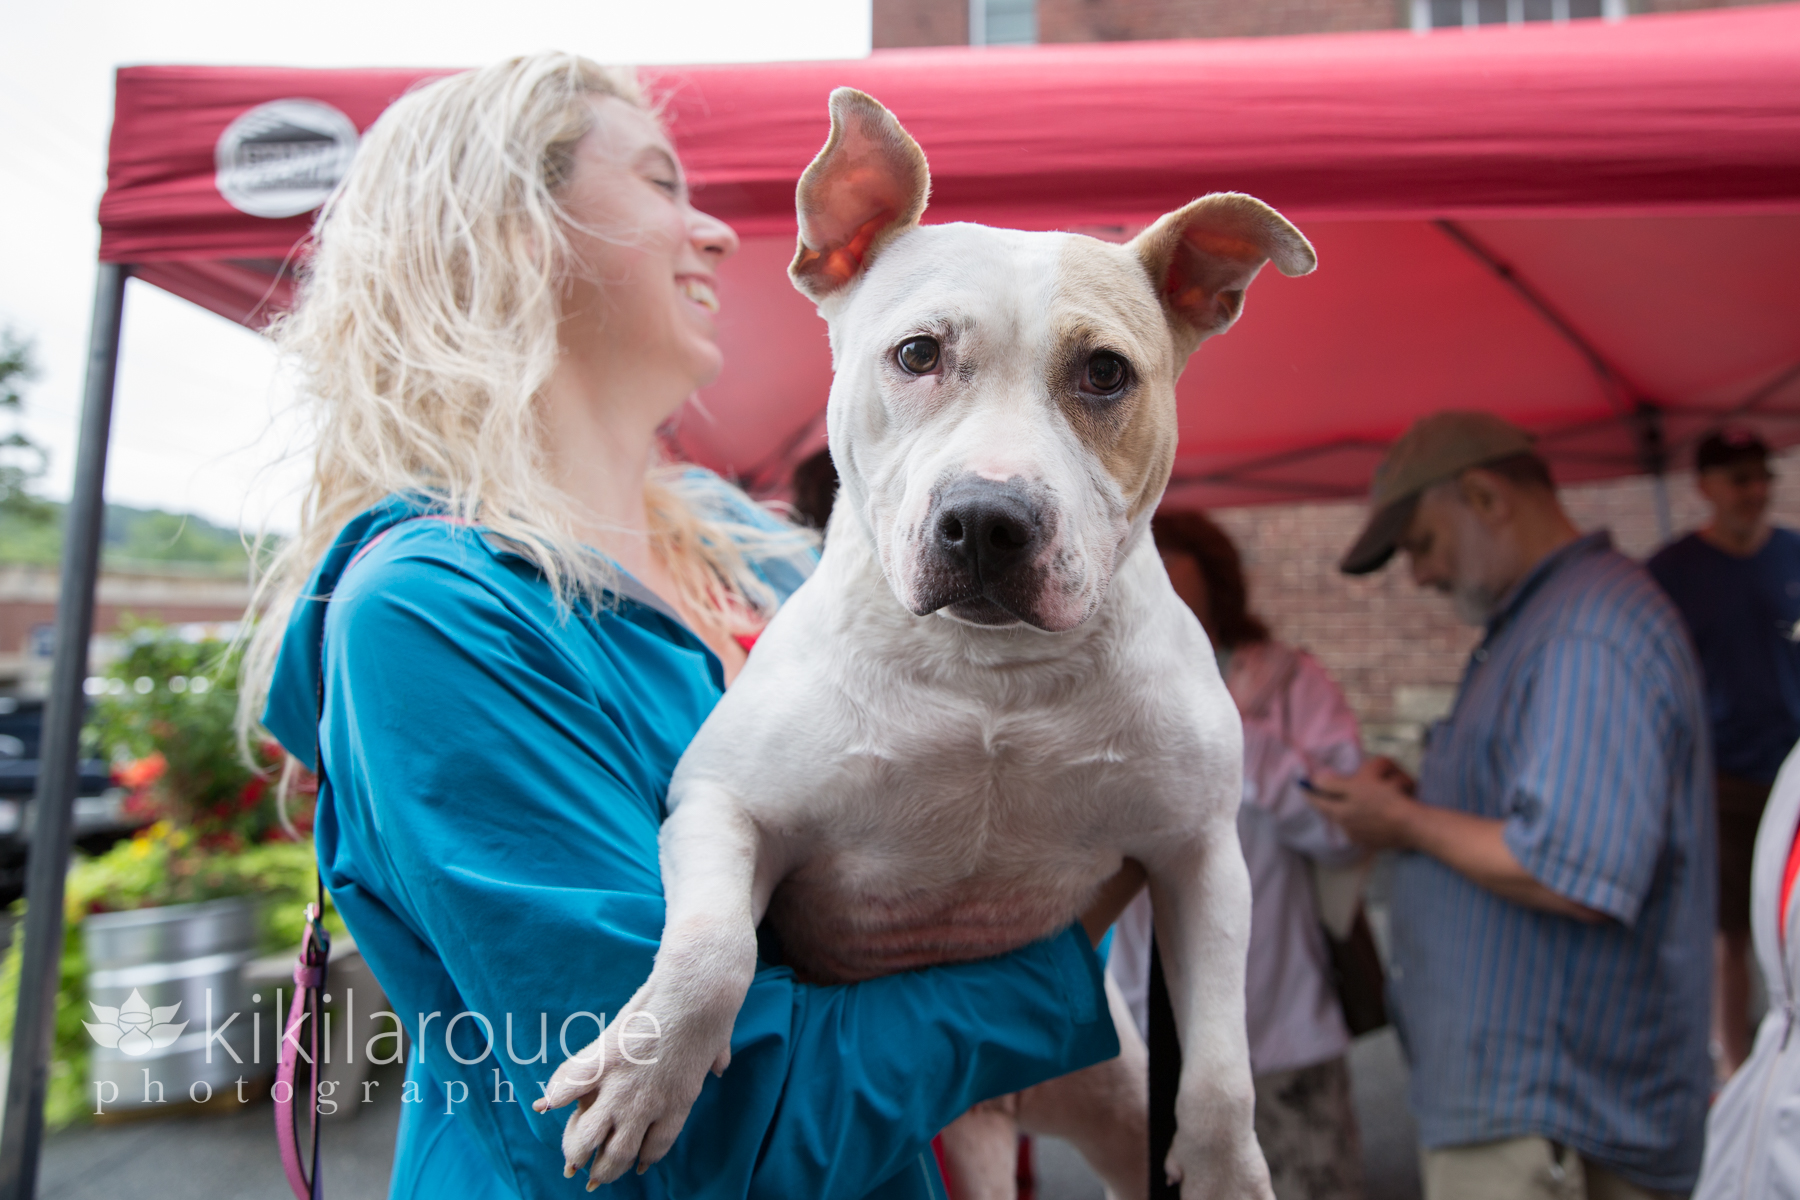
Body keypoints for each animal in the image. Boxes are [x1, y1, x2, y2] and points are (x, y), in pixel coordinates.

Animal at [540, 89, 1317, 1194]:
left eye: (1106, 372)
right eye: (917, 353)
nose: (988, 519)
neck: (988, 676)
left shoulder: (1199, 853)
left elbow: (1216, 1067)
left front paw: (1223, 1170)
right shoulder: (724, 803)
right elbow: (712, 952)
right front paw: (644, 1078)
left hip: (1112, 1086)